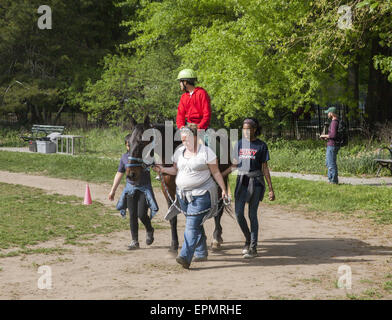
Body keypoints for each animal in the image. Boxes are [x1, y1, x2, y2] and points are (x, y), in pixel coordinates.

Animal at [125, 116, 231, 254]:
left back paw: (216, 239)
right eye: (129, 143)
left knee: (219, 210)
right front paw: (174, 245)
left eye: (143, 142)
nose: (131, 174)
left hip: (220, 182)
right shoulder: (168, 190)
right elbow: (173, 217)